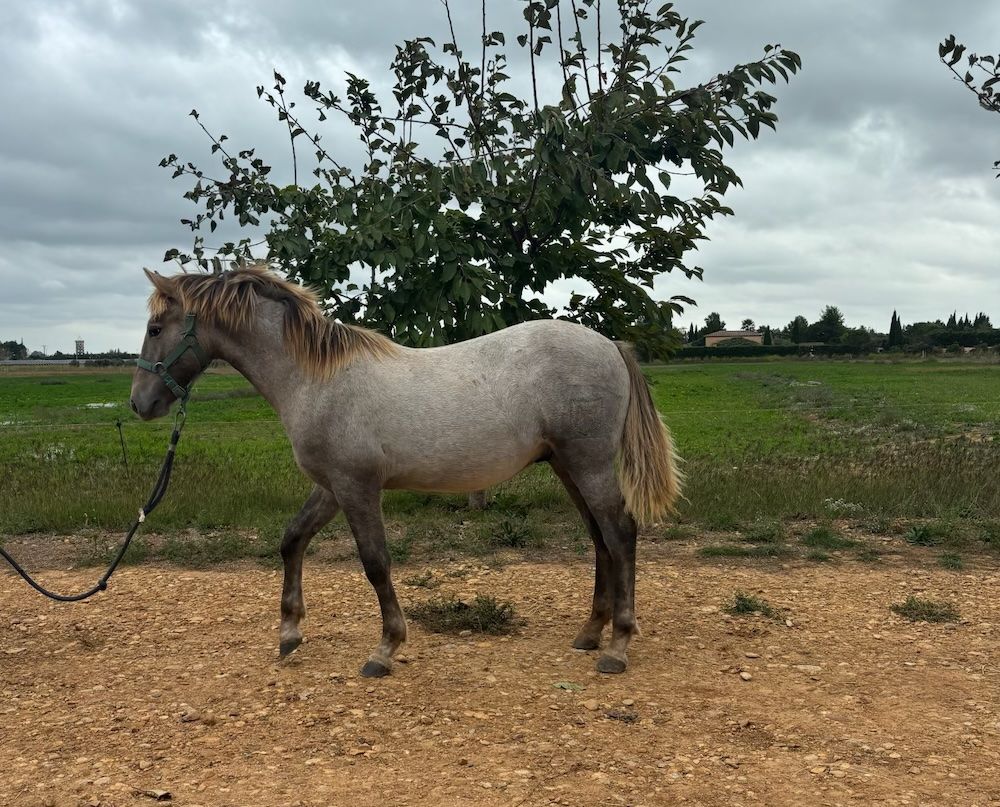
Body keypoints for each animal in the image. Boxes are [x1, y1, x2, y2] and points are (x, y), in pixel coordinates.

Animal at [129, 268, 684, 680]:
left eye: (156, 330)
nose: (140, 404)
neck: (315, 379)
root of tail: (609, 345)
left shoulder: (357, 487)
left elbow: (375, 563)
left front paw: (386, 649)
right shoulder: (330, 487)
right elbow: (291, 541)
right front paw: (289, 634)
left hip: (588, 463)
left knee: (620, 532)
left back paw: (617, 646)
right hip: (568, 465)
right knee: (599, 537)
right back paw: (590, 634)